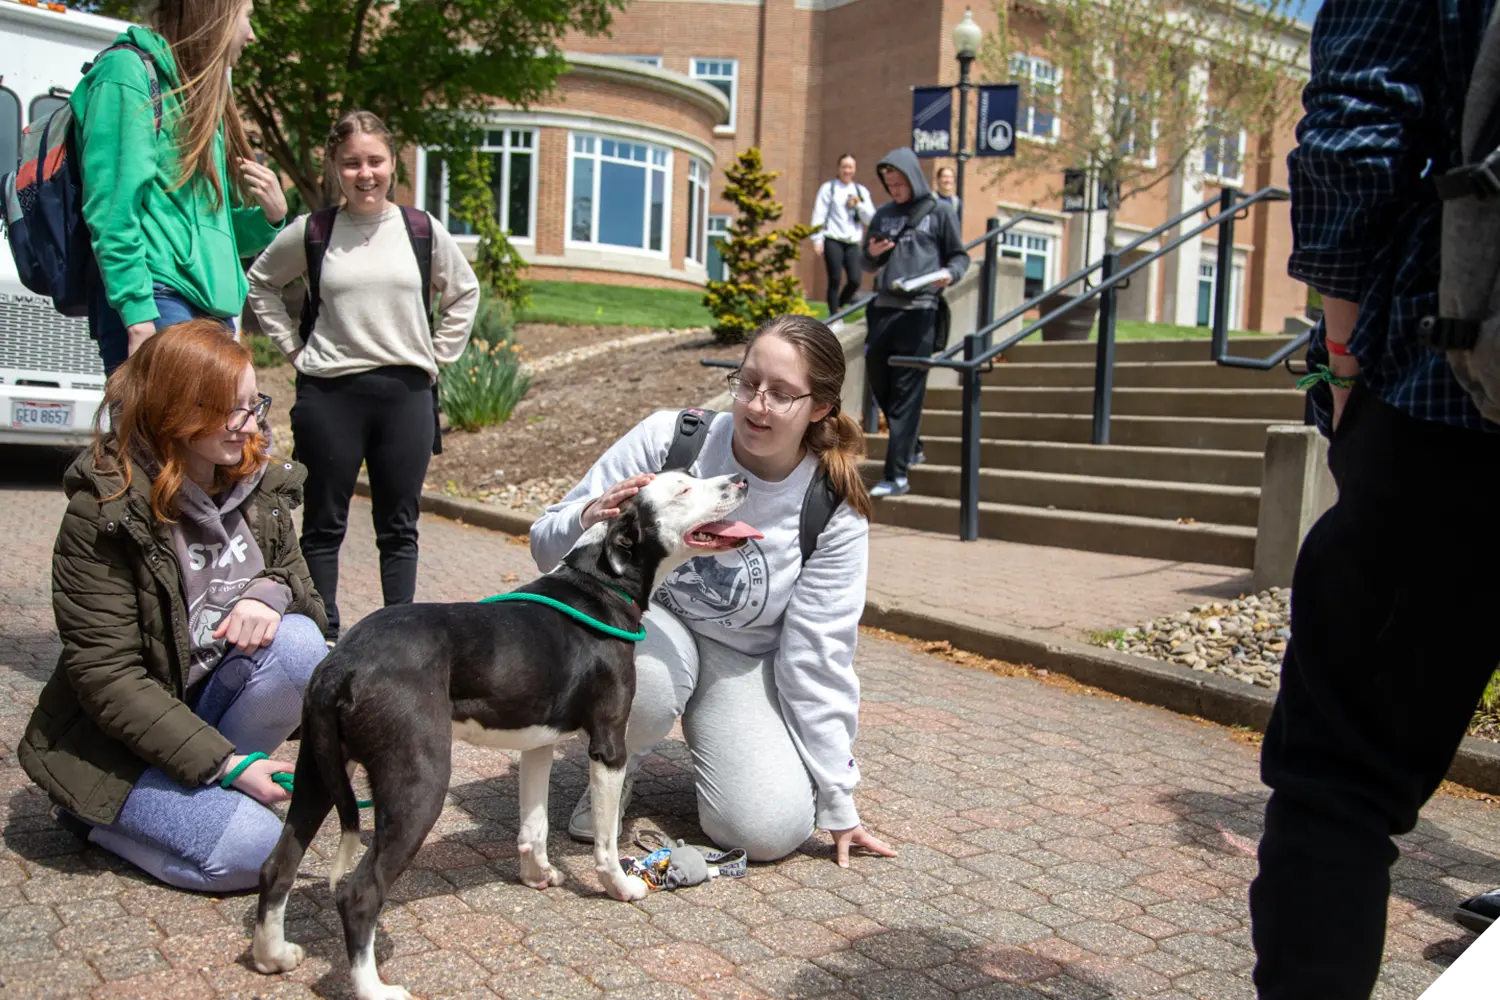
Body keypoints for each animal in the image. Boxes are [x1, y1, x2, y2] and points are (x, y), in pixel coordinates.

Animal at [252, 470, 762, 1000]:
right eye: (682, 489)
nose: (739, 479)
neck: (599, 584)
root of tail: (341, 663)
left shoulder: (538, 742)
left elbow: (534, 826)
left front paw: (537, 875)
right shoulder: (608, 744)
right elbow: (605, 842)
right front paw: (621, 887)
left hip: (315, 773)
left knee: (277, 866)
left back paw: (273, 956)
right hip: (418, 785)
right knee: (358, 894)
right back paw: (375, 988)